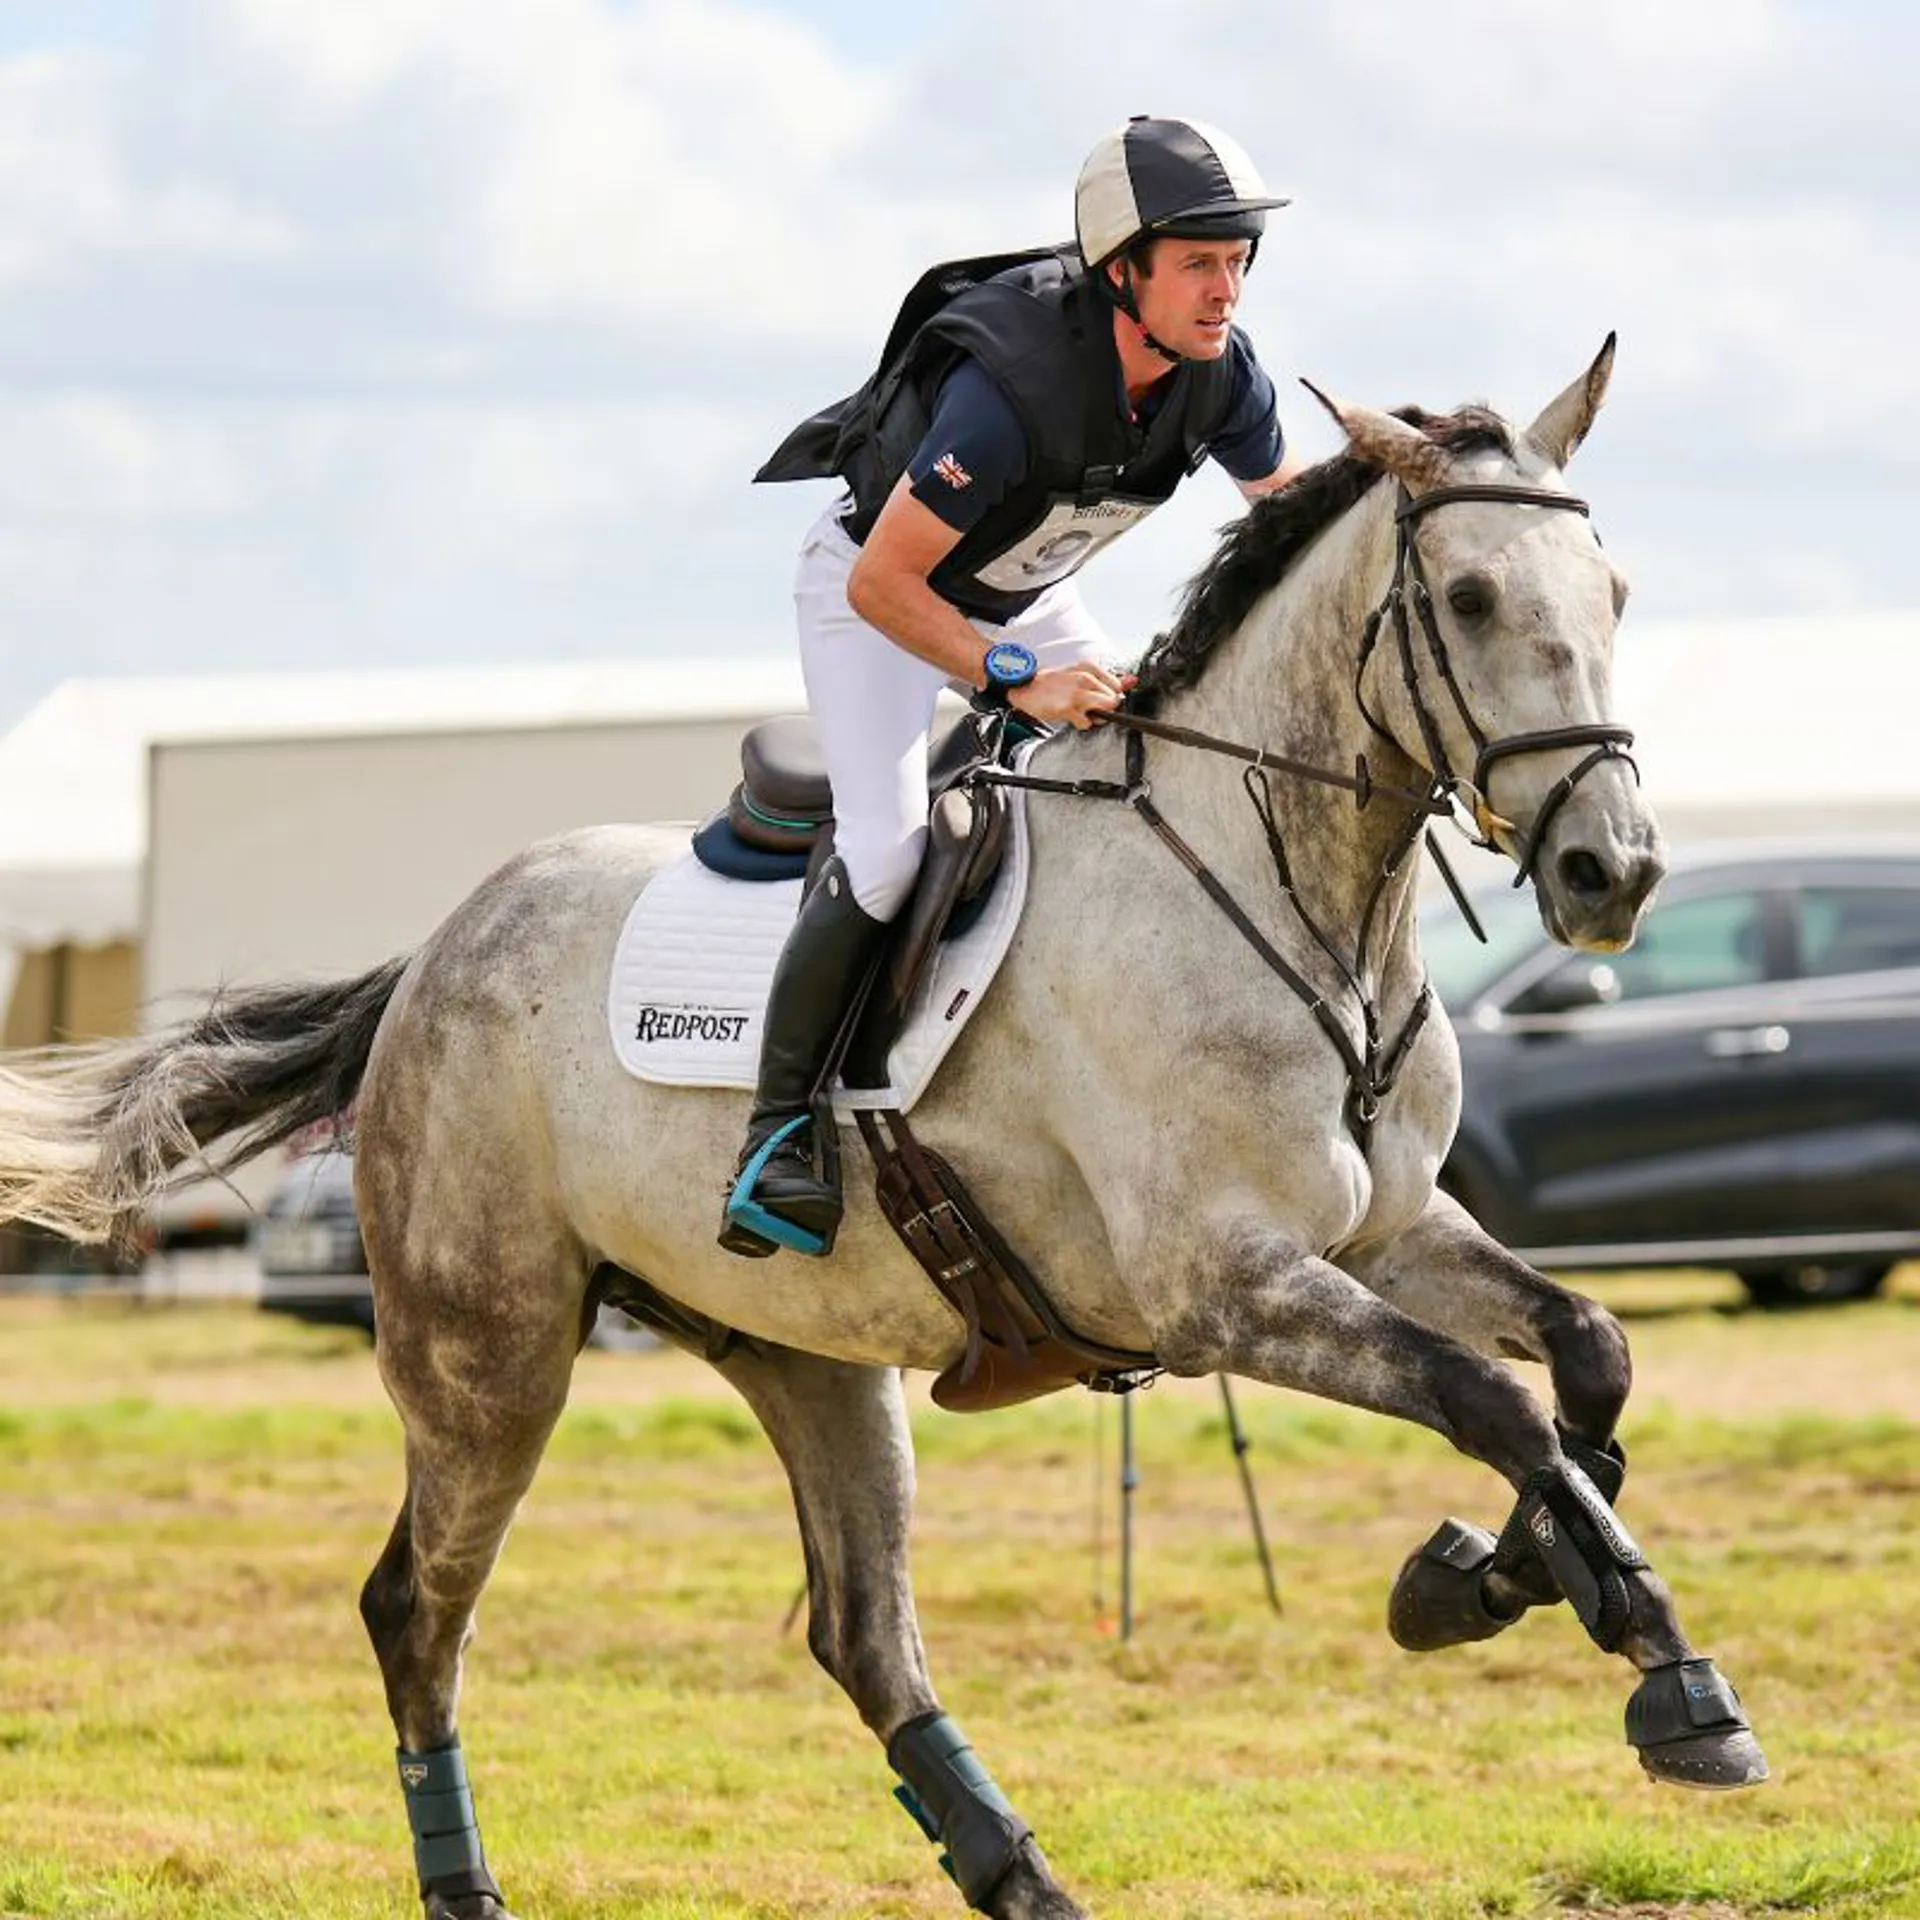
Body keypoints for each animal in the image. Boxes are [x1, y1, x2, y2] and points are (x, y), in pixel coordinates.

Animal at [0, 340, 1766, 1920]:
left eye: (1613, 593)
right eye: (1467, 602)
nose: (1613, 873)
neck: (1298, 898)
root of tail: (433, 952)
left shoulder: (1392, 1235)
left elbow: (1589, 1359)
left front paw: (1485, 1577)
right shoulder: (1227, 1285)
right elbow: (1496, 1400)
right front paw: (1663, 1671)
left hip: (809, 1357)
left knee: (863, 1634)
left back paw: (1028, 1880)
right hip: (489, 1356)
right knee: (417, 1615)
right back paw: (468, 1887)